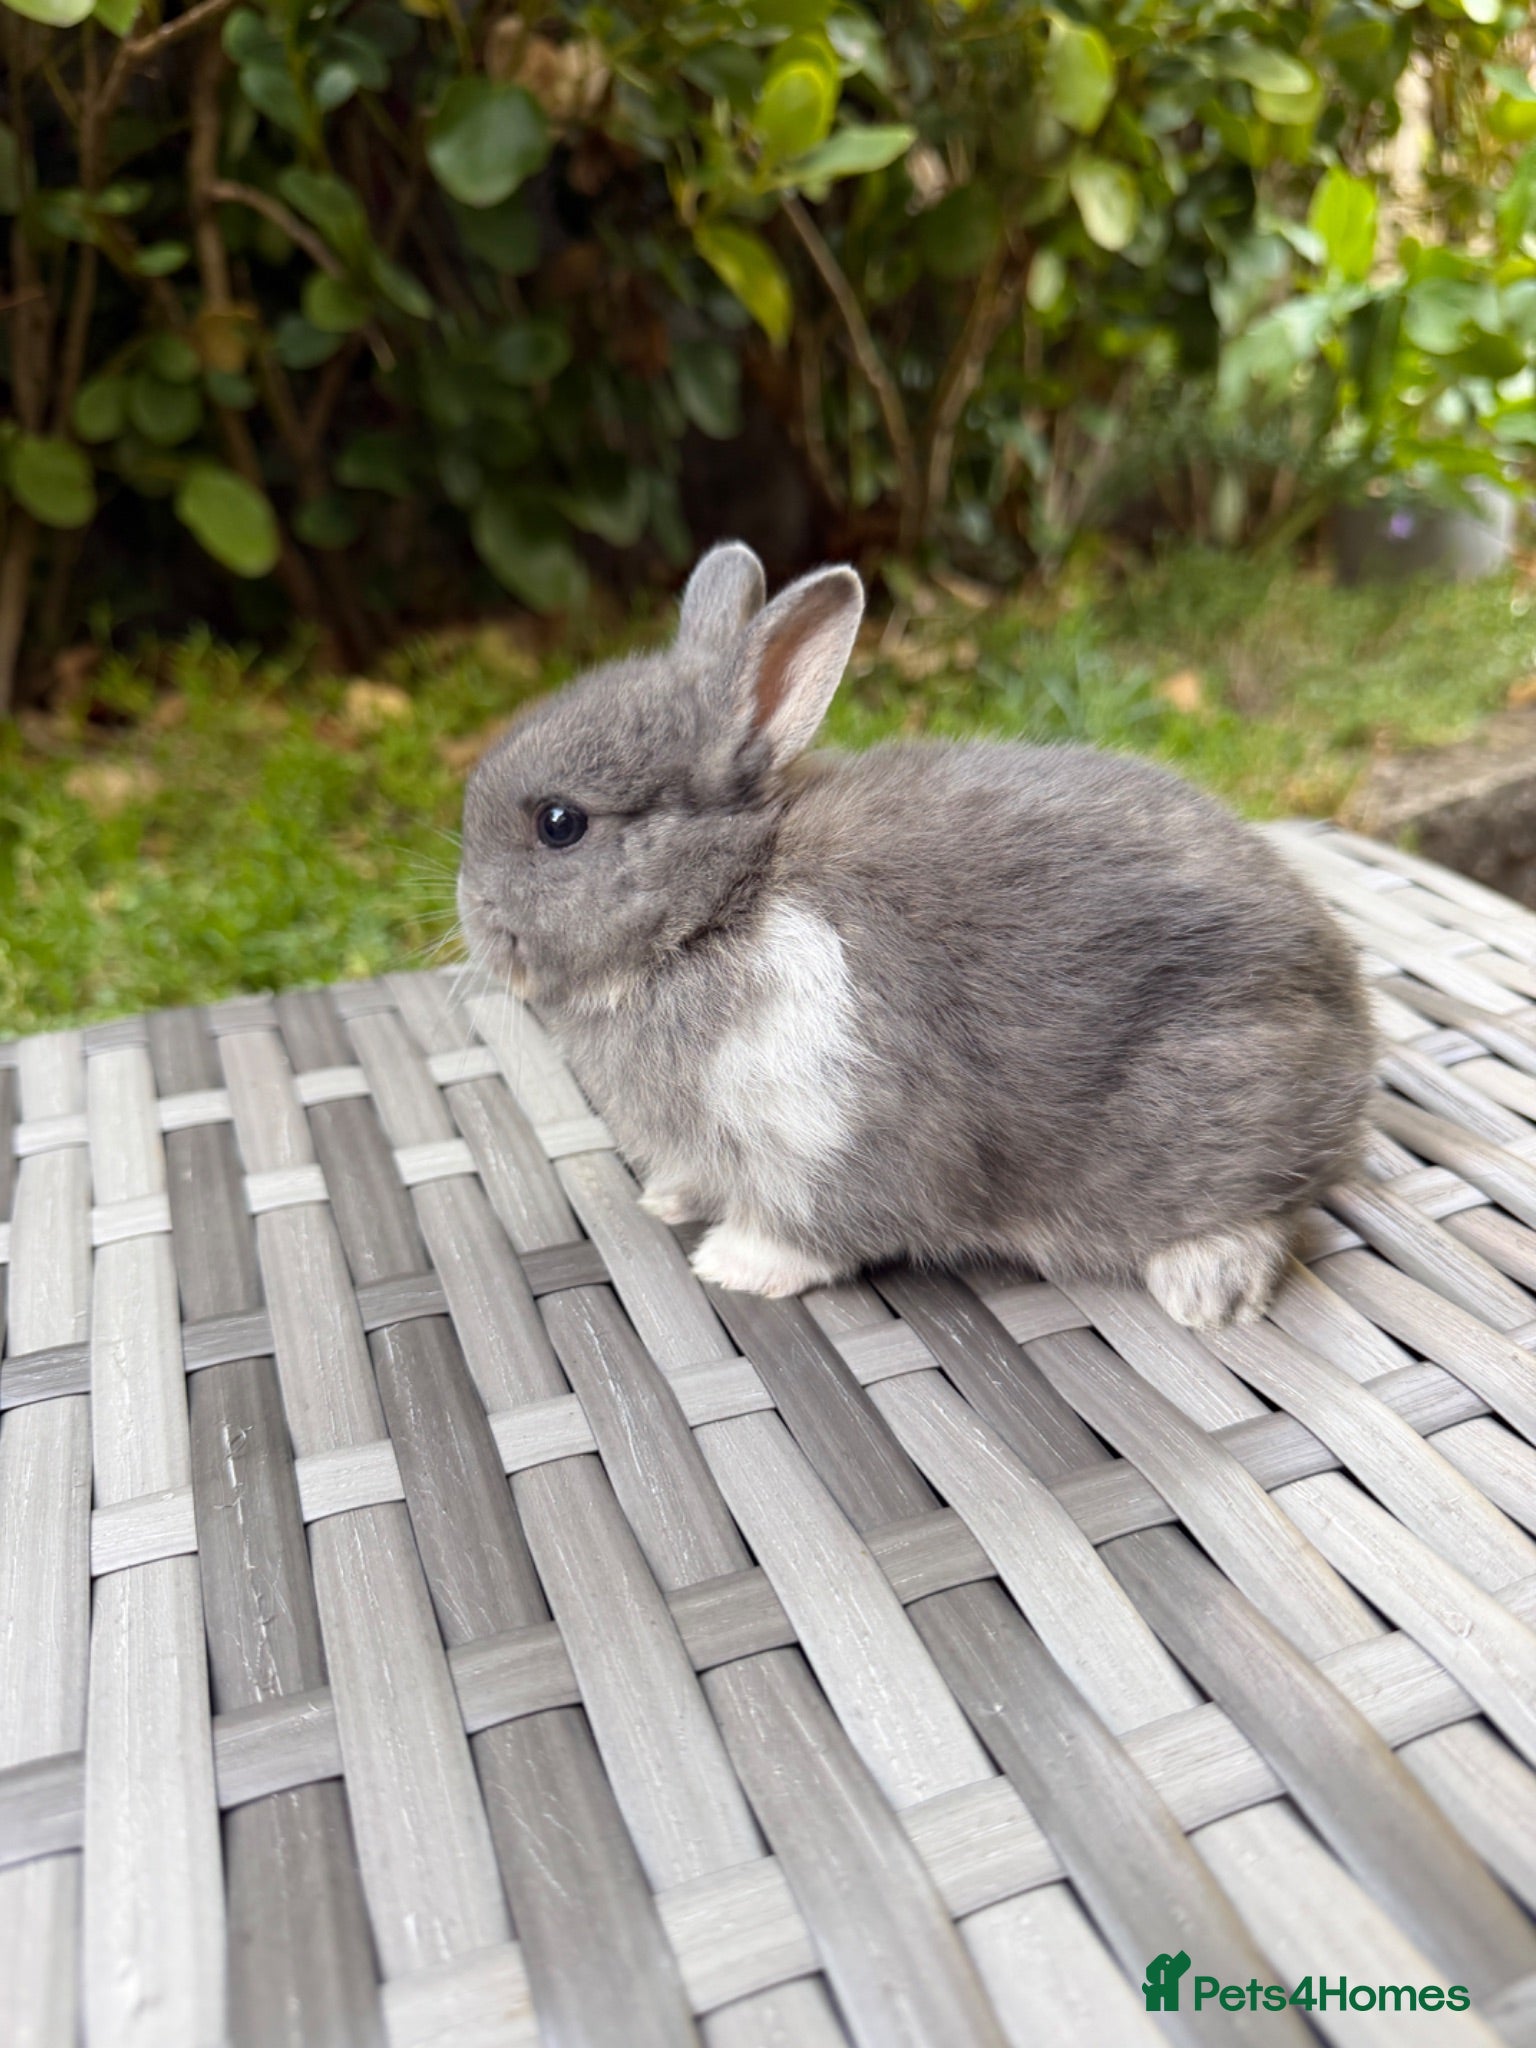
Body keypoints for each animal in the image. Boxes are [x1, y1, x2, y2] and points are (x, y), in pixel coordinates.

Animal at [458, 541, 1374, 1329]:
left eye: (560, 824)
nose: (473, 915)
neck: (728, 899)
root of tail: (1352, 1041)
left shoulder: (830, 1131)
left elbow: (817, 1228)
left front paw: (733, 1264)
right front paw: (668, 1198)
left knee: (1271, 1210)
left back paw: (1204, 1289)